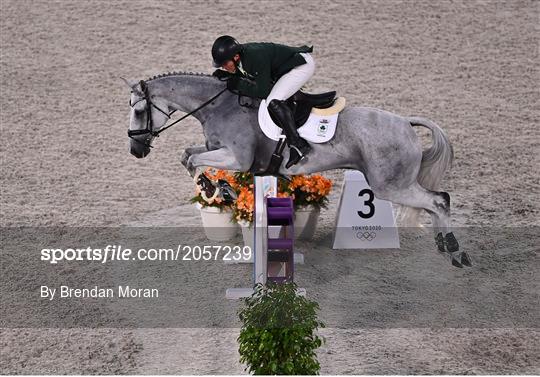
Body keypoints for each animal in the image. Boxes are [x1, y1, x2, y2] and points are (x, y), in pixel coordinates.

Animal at [124, 72, 470, 268]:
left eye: (139, 111)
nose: (136, 150)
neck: (220, 106)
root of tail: (406, 122)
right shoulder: (217, 149)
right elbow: (188, 155)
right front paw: (218, 187)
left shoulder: (237, 158)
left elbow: (194, 161)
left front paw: (216, 187)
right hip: (393, 184)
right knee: (436, 202)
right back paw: (444, 246)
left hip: (389, 185)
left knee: (439, 200)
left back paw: (454, 251)